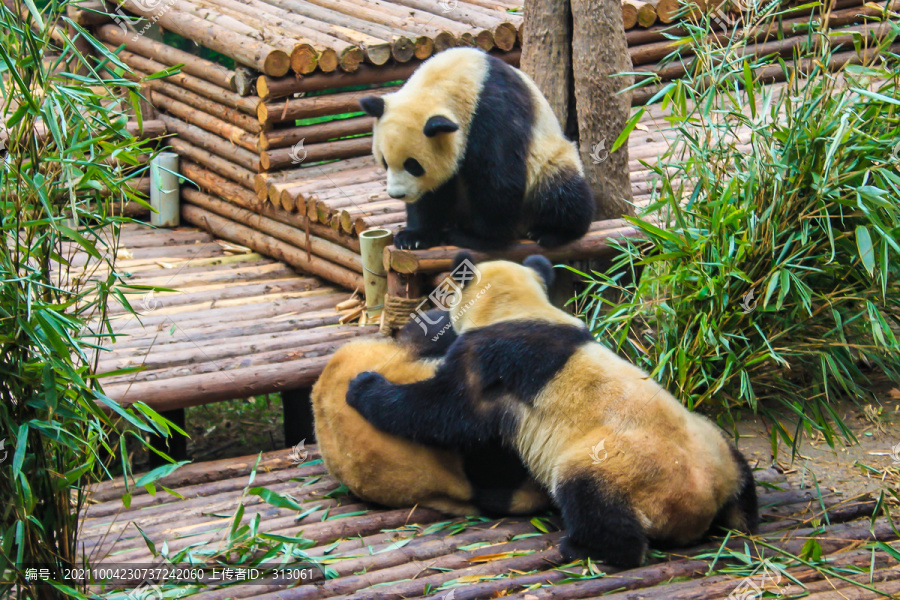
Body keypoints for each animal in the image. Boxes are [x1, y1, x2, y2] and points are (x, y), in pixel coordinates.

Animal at [346, 252, 760, 568]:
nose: (440, 316)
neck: (517, 307)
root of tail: (702, 503)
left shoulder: (489, 361)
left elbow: (444, 411)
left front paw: (364, 387)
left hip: (619, 466)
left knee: (590, 496)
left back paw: (584, 547)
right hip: (716, 443)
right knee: (742, 479)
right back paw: (745, 514)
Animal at [358, 48, 596, 252]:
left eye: (413, 165)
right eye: (385, 162)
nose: (397, 194)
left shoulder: (492, 112)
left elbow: (497, 176)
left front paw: (477, 238)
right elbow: (434, 192)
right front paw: (414, 237)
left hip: (549, 163)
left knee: (561, 191)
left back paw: (550, 232)